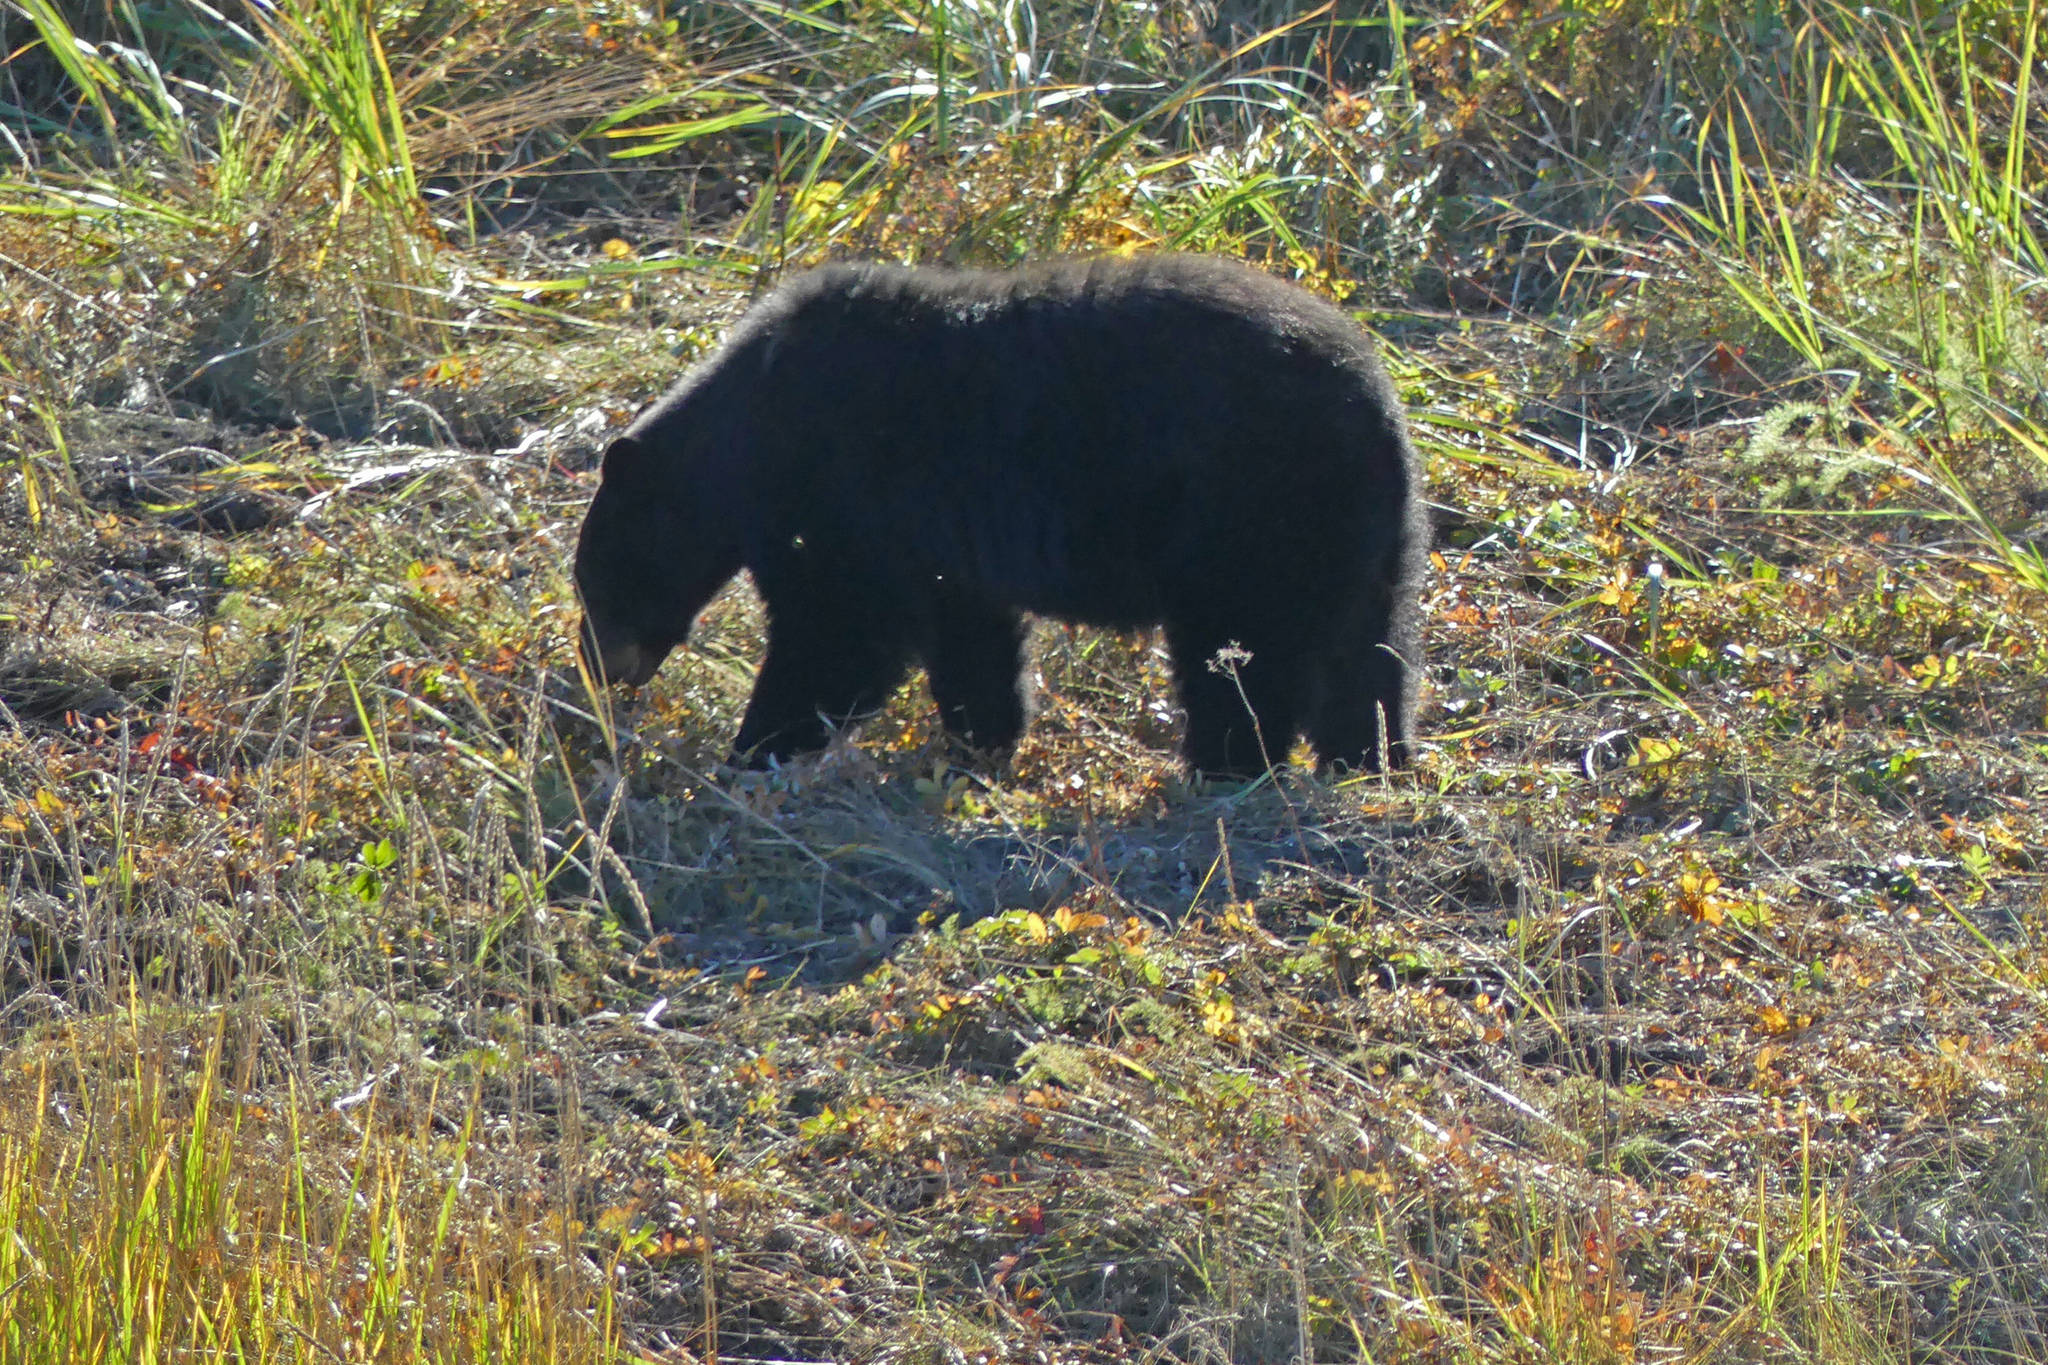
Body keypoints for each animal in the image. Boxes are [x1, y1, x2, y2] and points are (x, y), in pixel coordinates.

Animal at [577, 250, 1425, 773]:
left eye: (594, 584)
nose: (597, 671)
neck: (751, 431)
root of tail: (1379, 402)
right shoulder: (936, 545)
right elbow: (969, 635)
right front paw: (979, 745)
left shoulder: (845, 491)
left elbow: (840, 634)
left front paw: (752, 749)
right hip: (1361, 534)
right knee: (1368, 654)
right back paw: (1368, 758)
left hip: (1247, 515)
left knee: (1242, 654)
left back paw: (1226, 764)